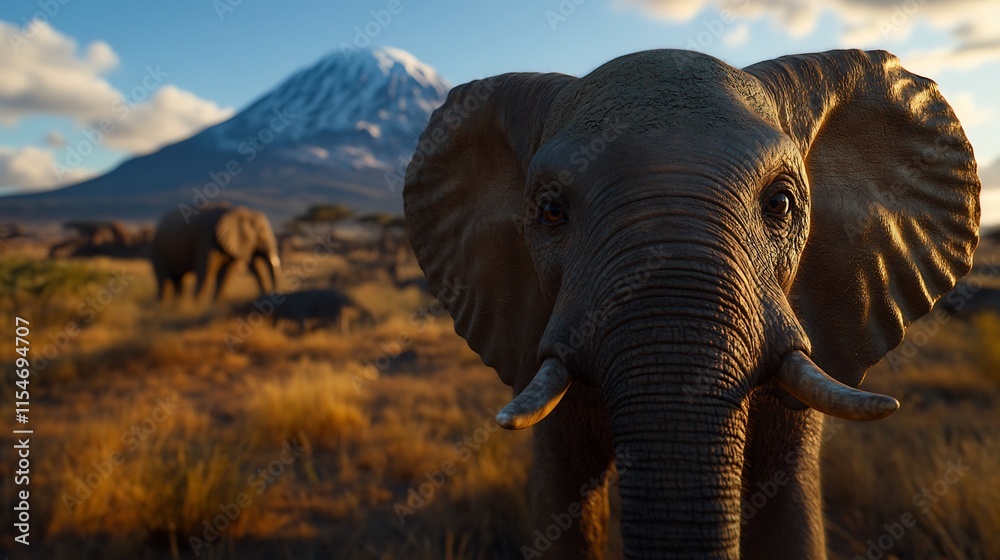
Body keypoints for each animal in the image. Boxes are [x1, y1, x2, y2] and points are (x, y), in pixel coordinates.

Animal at [150, 204, 281, 302]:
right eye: (262, 234)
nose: (272, 294)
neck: (238, 211)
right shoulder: (207, 237)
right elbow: (205, 271)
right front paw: (199, 305)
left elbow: (226, 274)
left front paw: (215, 303)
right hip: (157, 249)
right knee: (165, 281)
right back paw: (162, 305)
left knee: (180, 280)